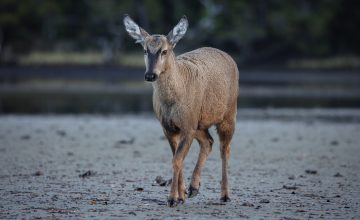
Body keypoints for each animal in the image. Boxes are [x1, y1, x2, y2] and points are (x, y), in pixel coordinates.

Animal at [124, 14, 239, 207]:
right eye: (145, 50)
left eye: (164, 51)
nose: (150, 75)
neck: (173, 99)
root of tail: (229, 57)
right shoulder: (170, 127)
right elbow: (177, 159)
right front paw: (181, 195)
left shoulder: (187, 126)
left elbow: (177, 160)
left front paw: (172, 199)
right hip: (199, 123)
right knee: (208, 142)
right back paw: (194, 188)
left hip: (229, 114)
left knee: (225, 149)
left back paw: (225, 195)